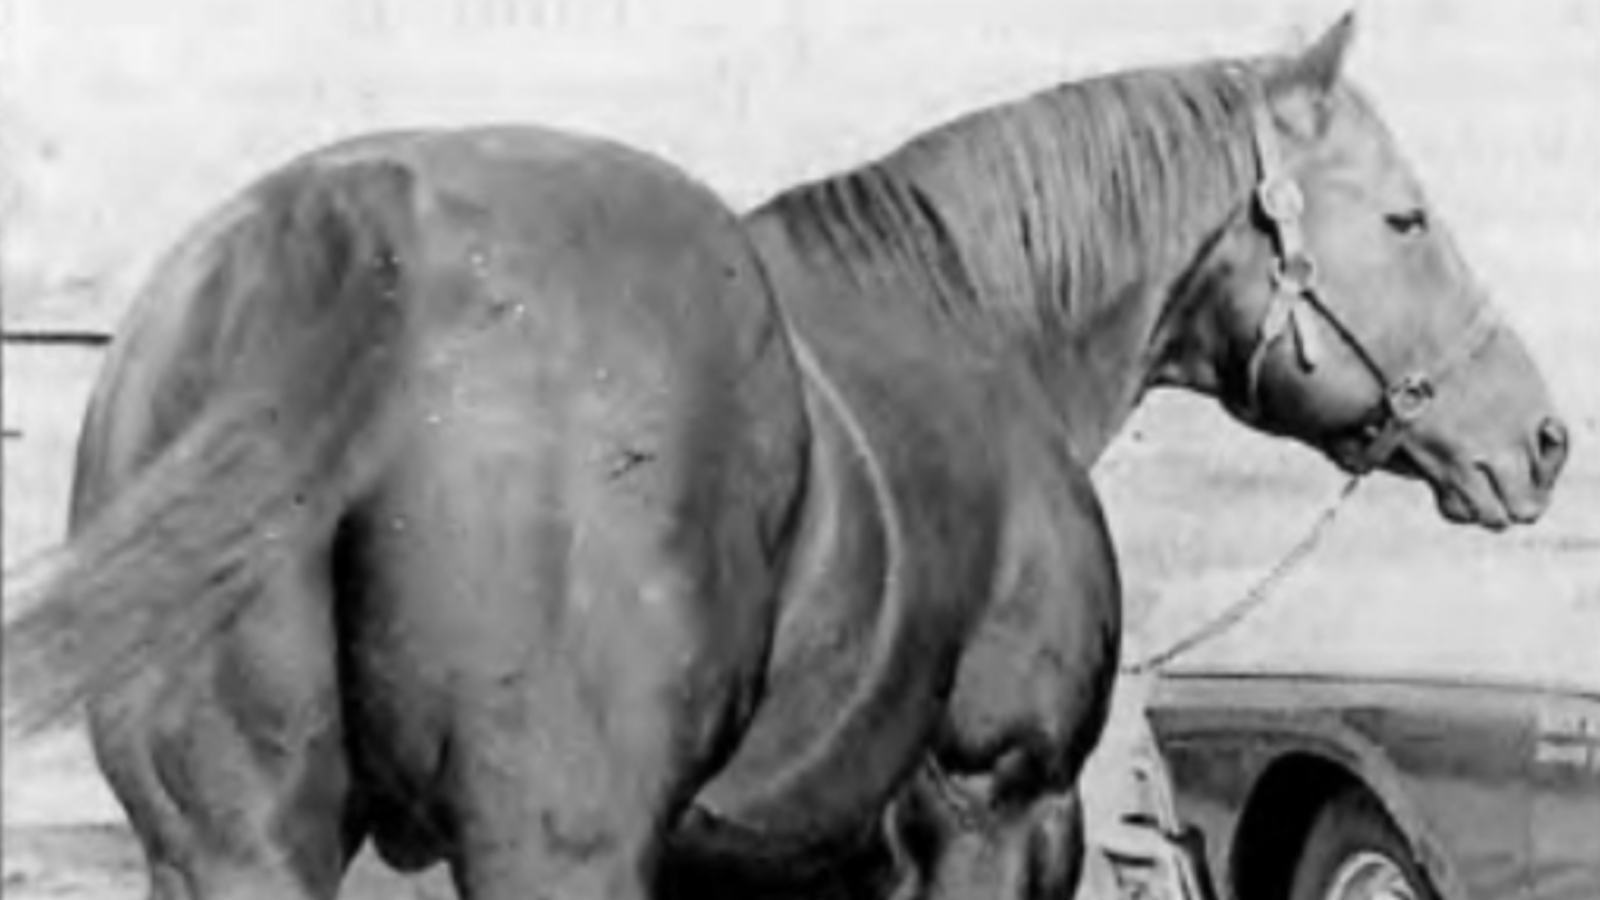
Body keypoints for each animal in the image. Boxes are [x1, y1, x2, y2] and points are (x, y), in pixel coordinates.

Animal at [3, 12, 1568, 900]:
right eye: (1407, 218)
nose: (1540, 437)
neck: (980, 319)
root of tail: (344, 233)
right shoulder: (996, 807)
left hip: (242, 843)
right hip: (551, 849)